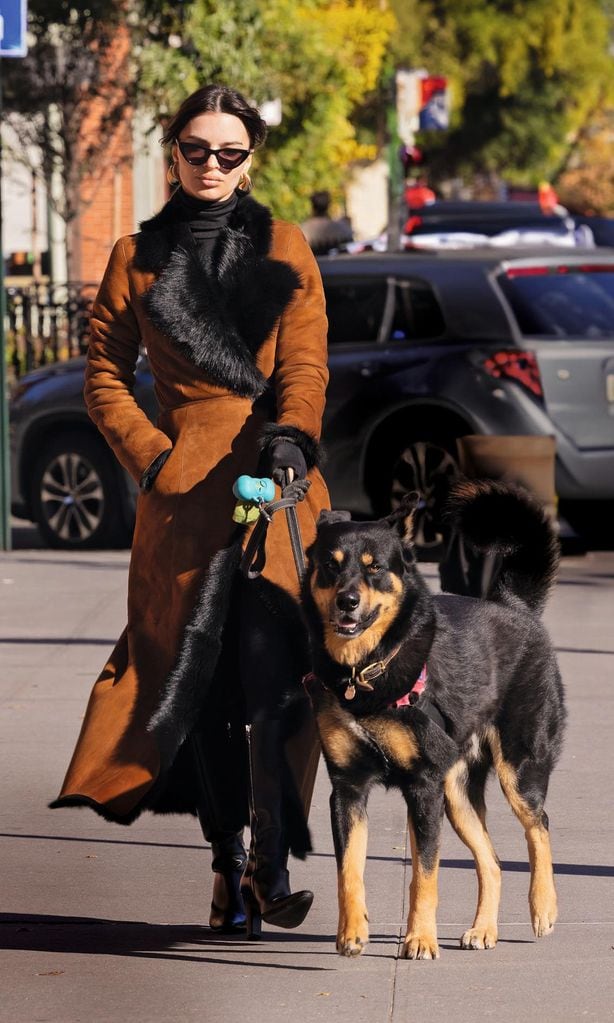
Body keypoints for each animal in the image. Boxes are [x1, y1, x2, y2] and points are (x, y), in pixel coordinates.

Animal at [302, 478, 564, 957]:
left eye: (374, 568)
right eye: (331, 566)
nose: (348, 601)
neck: (365, 671)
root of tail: (514, 605)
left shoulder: (423, 786)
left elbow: (425, 875)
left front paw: (420, 938)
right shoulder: (347, 789)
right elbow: (349, 869)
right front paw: (352, 931)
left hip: (517, 769)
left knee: (539, 826)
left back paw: (543, 907)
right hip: (457, 792)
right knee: (492, 861)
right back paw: (483, 929)